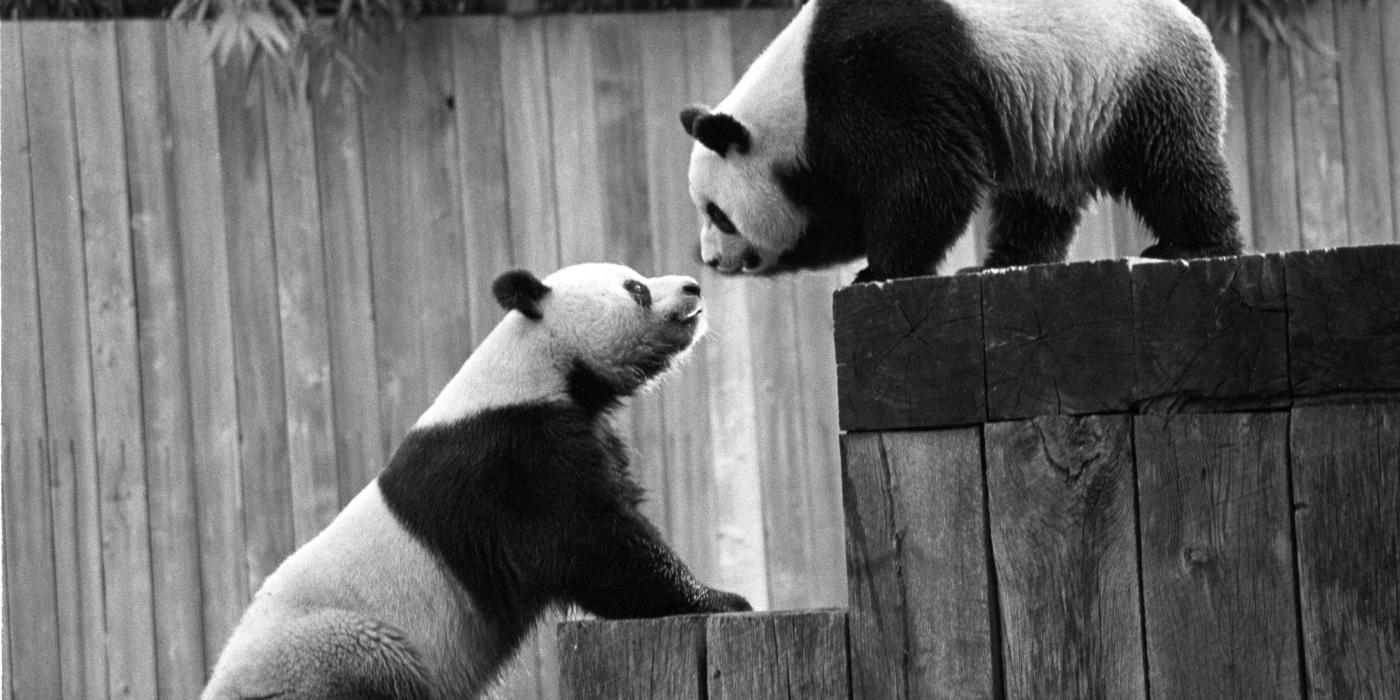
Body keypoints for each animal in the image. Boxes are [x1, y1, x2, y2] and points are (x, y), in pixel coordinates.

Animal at [201, 263, 750, 700]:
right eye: (636, 288)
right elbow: (591, 544)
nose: (692, 286)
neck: (535, 362)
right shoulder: (511, 459)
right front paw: (723, 598)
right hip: (337, 648)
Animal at [683, 0, 1243, 281]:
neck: (794, 90)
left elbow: (930, 174)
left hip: (1135, 75)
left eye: (719, 214)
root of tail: (1201, 29)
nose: (711, 261)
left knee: (1170, 165)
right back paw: (1009, 258)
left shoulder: (882, 72)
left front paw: (881, 270)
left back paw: (1196, 245)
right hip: (1053, 121)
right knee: (1037, 196)